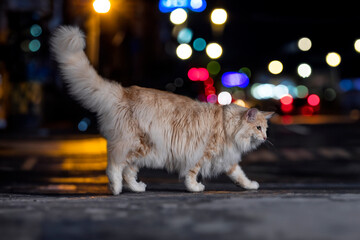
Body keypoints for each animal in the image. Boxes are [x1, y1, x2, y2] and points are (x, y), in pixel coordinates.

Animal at [50, 25, 274, 195]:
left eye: (265, 129)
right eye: (258, 128)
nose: (264, 138)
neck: (228, 127)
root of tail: (123, 91)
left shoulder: (228, 159)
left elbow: (240, 176)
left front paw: (250, 185)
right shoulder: (199, 152)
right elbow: (192, 174)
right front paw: (195, 188)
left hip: (143, 149)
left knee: (128, 171)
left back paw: (137, 188)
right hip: (131, 143)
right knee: (114, 165)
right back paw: (115, 189)